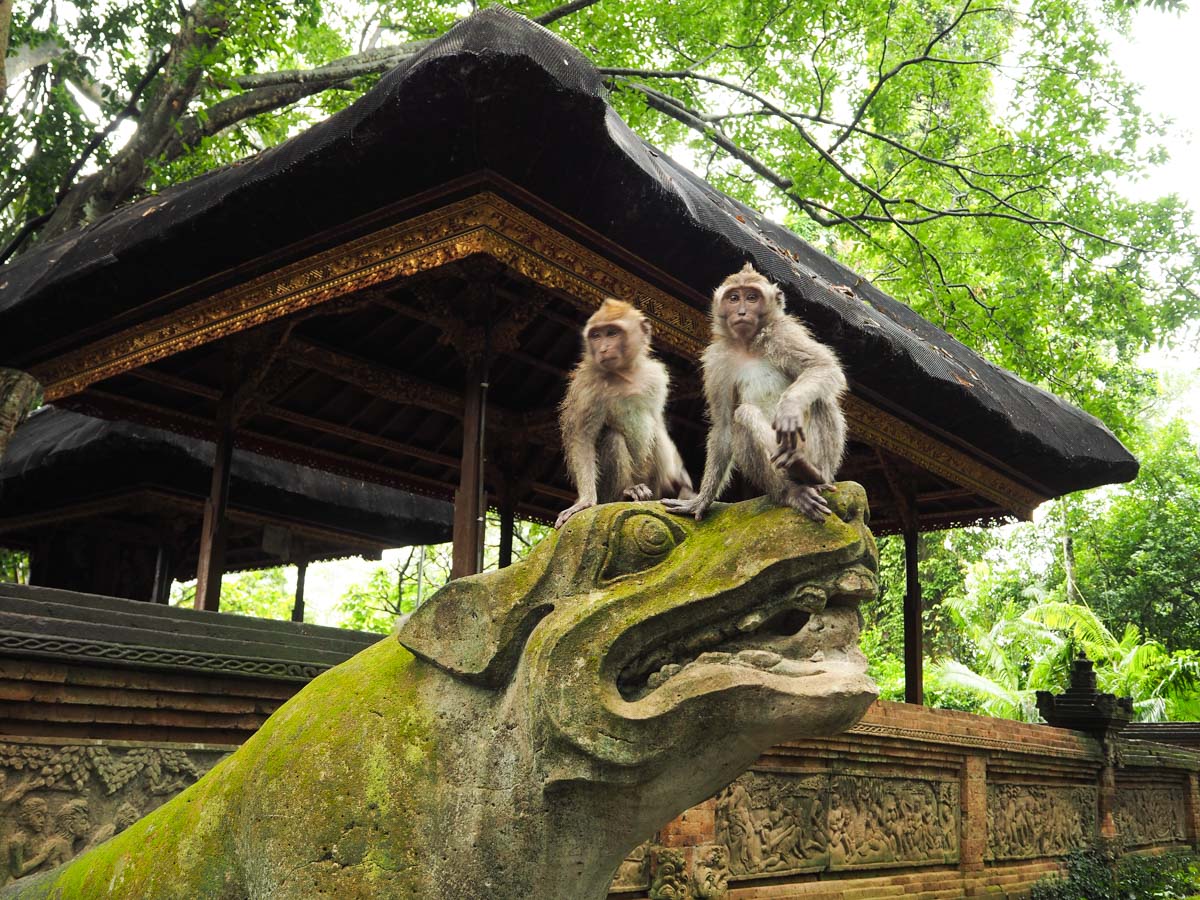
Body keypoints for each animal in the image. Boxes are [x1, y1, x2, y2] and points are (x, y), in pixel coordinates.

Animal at [556, 299, 694, 529]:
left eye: (612, 333)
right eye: (596, 335)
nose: (603, 349)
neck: (626, 374)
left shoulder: (655, 376)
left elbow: (657, 421)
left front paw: (680, 479)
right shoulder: (587, 386)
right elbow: (581, 437)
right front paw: (584, 501)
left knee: (655, 435)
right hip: (608, 491)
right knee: (613, 437)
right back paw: (627, 492)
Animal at [663, 262, 846, 523]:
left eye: (751, 297)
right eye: (733, 298)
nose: (741, 312)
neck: (747, 345)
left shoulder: (783, 334)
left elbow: (822, 366)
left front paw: (789, 408)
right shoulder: (717, 362)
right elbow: (724, 426)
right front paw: (700, 501)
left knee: (820, 398)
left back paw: (815, 474)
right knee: (742, 417)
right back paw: (793, 487)